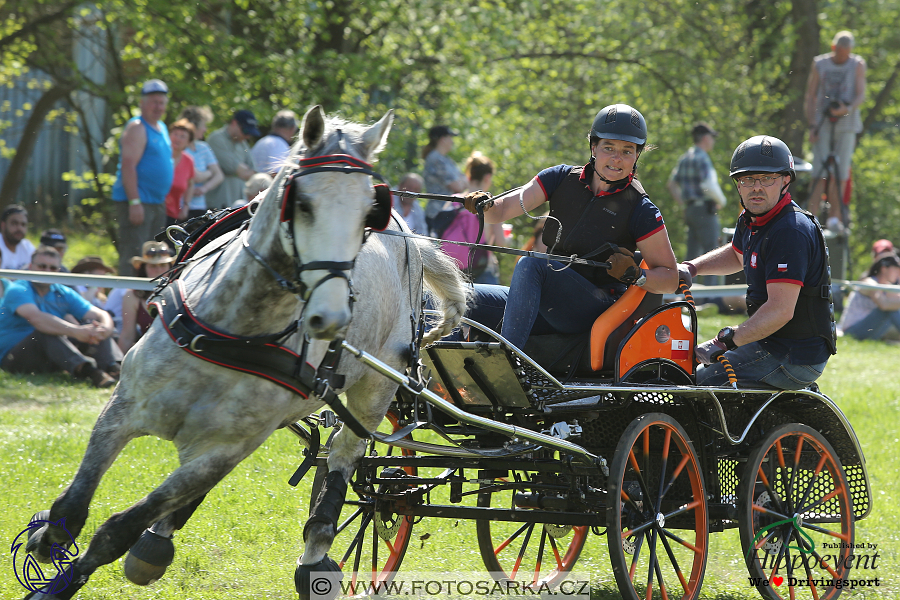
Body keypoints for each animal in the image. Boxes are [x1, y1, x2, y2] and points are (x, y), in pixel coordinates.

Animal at [22, 108, 472, 600]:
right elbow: (75, 503)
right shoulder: (123, 409)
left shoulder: (223, 452)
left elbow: (117, 530)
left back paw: (316, 553)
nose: (332, 316)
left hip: (376, 387)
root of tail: (410, 236)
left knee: (345, 455)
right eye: (302, 203)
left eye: (367, 214)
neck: (235, 332)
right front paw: (49, 544)